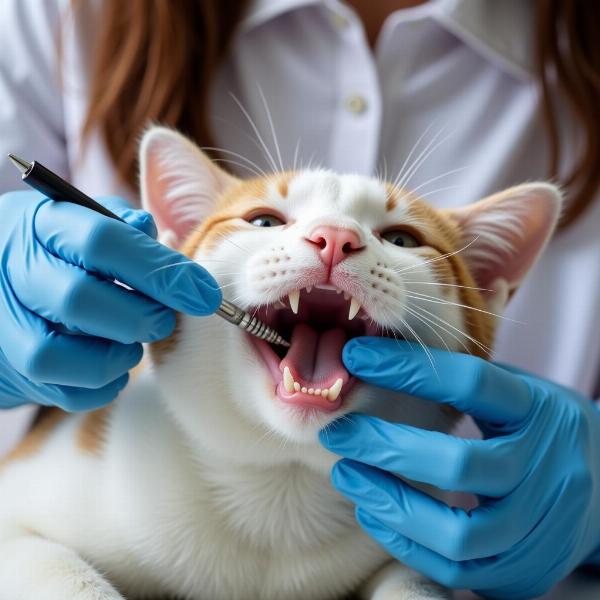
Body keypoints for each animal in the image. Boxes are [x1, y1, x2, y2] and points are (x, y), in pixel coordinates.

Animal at [0, 124, 564, 596]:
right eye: (265, 221)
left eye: (402, 238)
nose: (336, 237)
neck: (280, 488)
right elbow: (59, 570)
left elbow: (414, 583)